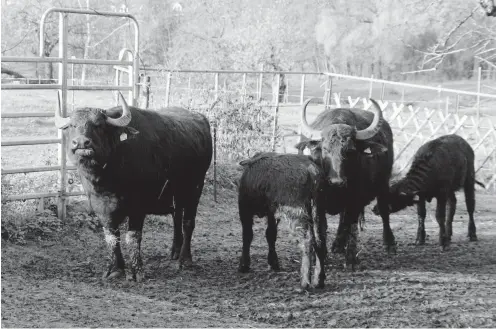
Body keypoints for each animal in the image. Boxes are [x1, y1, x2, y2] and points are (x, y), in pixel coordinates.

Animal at [54, 91, 213, 280]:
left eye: (98, 125)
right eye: (72, 125)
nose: (80, 143)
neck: (109, 177)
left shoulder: (138, 206)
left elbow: (133, 236)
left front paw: (137, 271)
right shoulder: (100, 206)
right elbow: (112, 236)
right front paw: (116, 269)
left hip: (195, 188)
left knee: (188, 222)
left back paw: (185, 259)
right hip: (176, 194)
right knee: (177, 217)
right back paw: (175, 251)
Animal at [237, 151, 328, 288]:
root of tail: (312, 171)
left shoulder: (244, 209)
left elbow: (247, 235)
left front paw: (244, 265)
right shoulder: (272, 213)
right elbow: (270, 234)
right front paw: (273, 262)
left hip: (296, 212)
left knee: (307, 240)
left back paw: (304, 282)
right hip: (318, 210)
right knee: (320, 239)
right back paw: (319, 279)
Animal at [294, 97, 396, 266]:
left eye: (350, 151)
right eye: (325, 149)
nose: (337, 181)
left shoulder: (355, 199)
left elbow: (350, 224)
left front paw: (351, 259)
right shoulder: (317, 202)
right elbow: (322, 226)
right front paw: (321, 255)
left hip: (383, 183)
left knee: (383, 210)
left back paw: (389, 244)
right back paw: (337, 245)